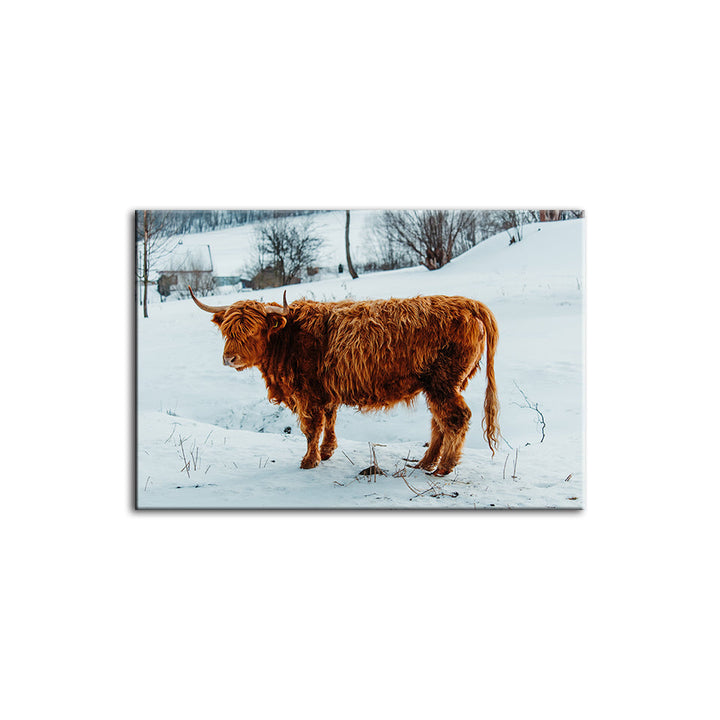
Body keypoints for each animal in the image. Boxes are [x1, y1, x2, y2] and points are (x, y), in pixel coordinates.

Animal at [189, 287, 499, 476]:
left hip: (443, 381)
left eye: (252, 331)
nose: (229, 358)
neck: (288, 339)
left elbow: (311, 427)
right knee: (439, 422)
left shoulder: (307, 392)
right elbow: (330, 418)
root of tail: (465, 302)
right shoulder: (326, 391)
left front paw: (309, 461)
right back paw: (425, 463)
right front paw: (327, 452)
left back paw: (443, 468)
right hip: (440, 384)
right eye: (227, 331)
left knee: (456, 418)